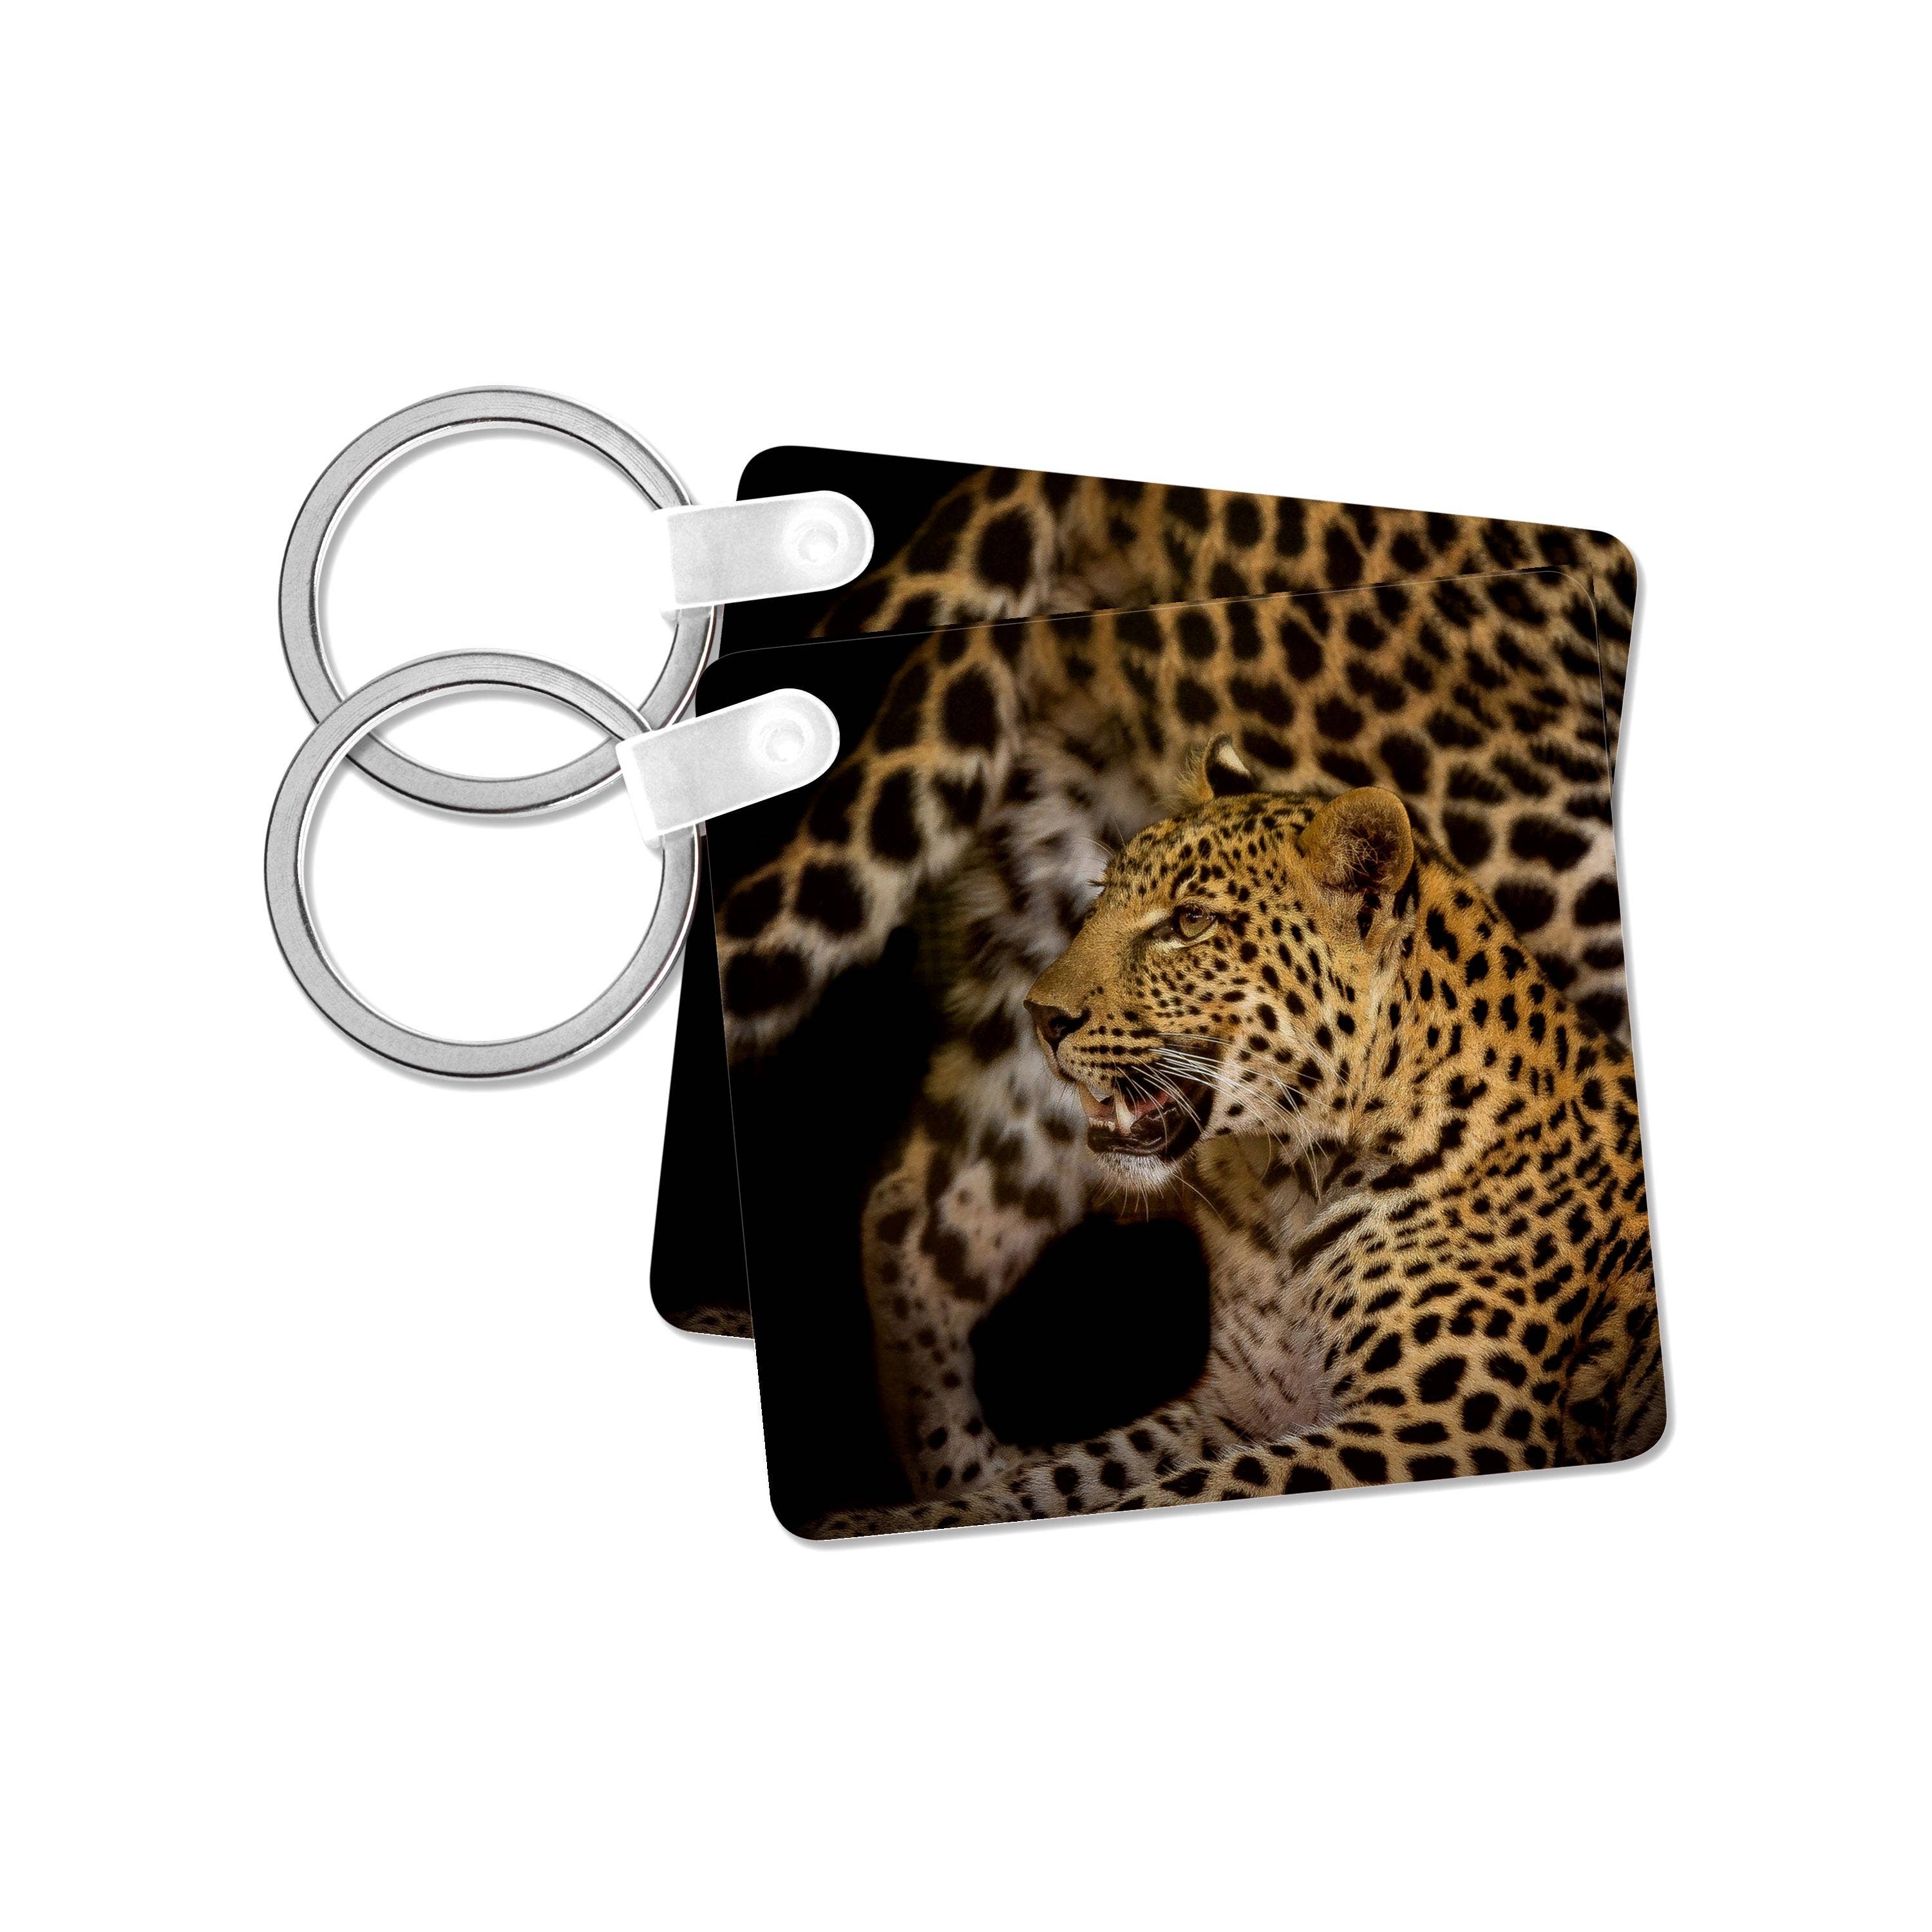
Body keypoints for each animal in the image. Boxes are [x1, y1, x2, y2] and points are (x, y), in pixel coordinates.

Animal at [808, 747, 1659, 1534]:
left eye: (1191, 923)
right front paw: (875, 1522)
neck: (1286, 1187)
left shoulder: (1440, 1427)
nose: (1040, 1016)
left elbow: (1173, 1495)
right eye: (1101, 899)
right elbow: (1060, 1479)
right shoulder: (1236, 1407)